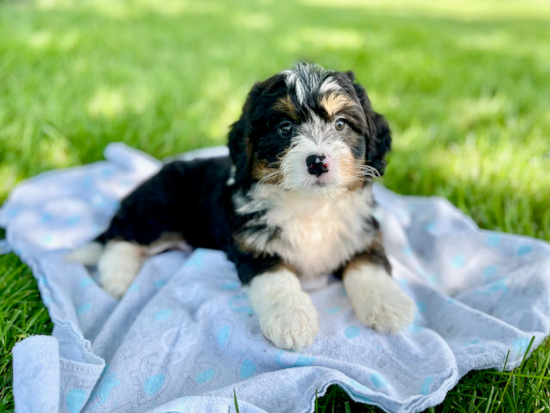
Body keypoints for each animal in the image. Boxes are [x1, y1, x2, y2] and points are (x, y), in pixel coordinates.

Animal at [68, 62, 414, 350]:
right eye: (285, 128)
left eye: (341, 124)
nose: (317, 162)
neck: (309, 205)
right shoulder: (253, 244)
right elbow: (277, 280)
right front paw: (291, 319)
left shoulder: (362, 233)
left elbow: (368, 266)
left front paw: (388, 305)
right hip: (159, 210)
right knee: (122, 237)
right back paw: (118, 278)